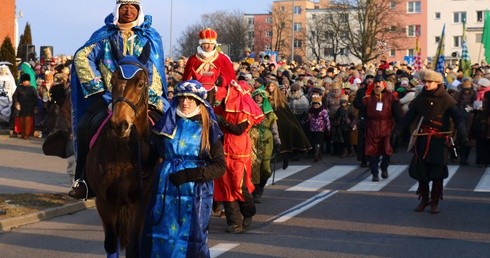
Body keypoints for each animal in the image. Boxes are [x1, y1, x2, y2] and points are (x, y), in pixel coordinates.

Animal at [85, 43, 159, 256]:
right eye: (112, 80)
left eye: (141, 83)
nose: (120, 124)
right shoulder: (105, 202)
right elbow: (111, 244)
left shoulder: (139, 203)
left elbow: (135, 247)